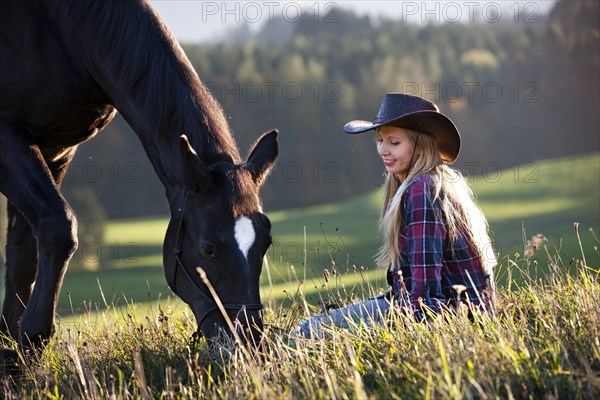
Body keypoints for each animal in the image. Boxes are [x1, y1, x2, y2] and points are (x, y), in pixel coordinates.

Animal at [0, 0, 276, 356]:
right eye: (208, 249)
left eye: (265, 242)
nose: (248, 341)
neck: (63, 30)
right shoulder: (8, 138)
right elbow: (57, 228)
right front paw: (32, 337)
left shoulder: (57, 150)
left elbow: (24, 254)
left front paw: (13, 355)